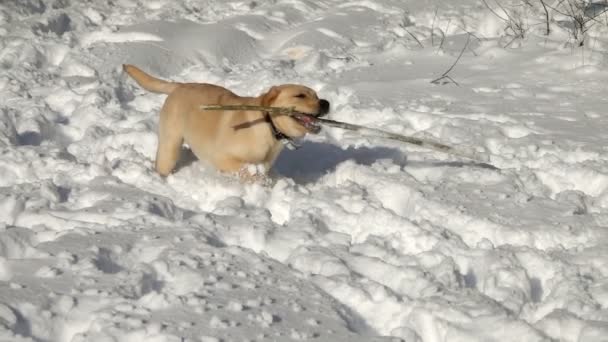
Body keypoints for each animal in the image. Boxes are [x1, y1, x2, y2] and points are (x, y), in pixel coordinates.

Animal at [121, 65, 330, 180]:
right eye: (300, 95)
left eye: (316, 95)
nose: (326, 103)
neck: (268, 125)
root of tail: (179, 86)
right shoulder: (222, 157)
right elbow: (248, 172)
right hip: (170, 146)